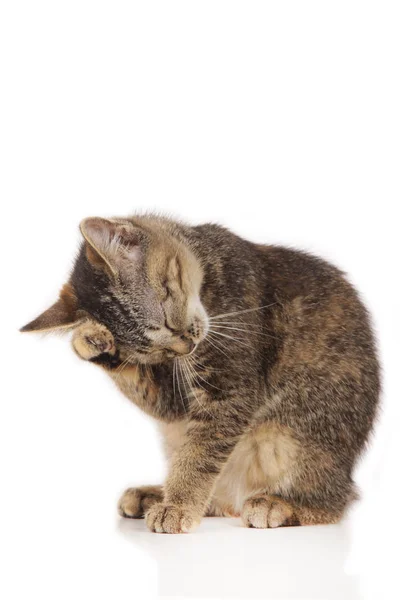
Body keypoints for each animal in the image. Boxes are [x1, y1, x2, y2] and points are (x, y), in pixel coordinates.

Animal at [20, 213, 380, 532]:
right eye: (153, 351)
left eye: (166, 322)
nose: (186, 346)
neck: (208, 266)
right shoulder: (178, 397)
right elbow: (167, 406)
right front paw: (91, 341)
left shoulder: (229, 392)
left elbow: (200, 452)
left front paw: (178, 506)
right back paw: (154, 494)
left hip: (293, 437)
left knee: (333, 502)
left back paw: (276, 504)